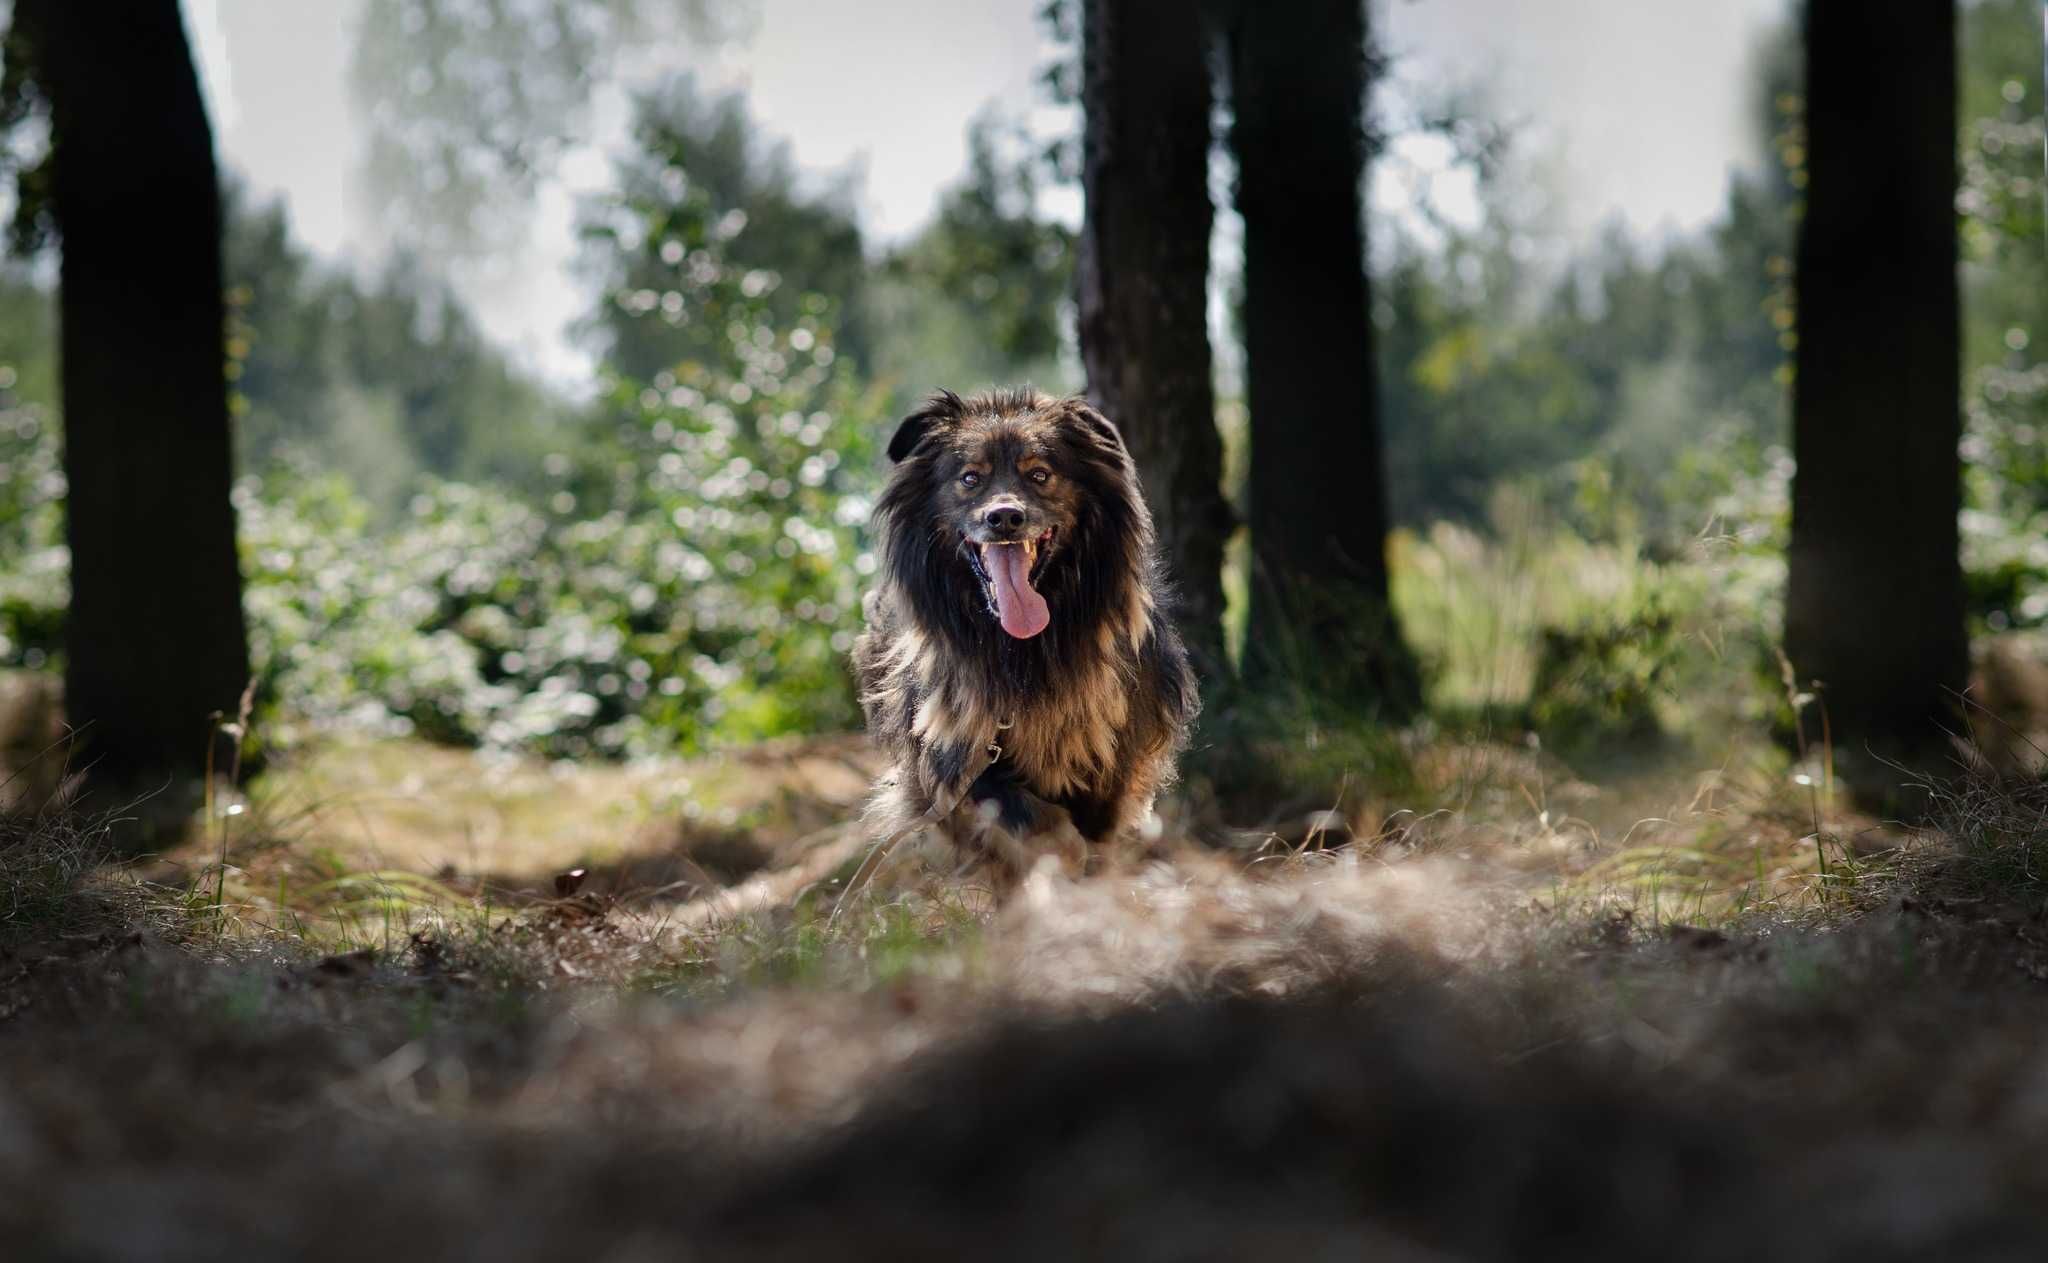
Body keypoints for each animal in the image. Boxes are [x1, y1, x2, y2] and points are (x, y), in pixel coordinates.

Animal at [851, 388, 1196, 872]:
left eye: (1040, 474)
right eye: (970, 477)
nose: (1004, 518)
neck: (1021, 647)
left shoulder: (1116, 758)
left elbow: (1096, 832)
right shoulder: (955, 760)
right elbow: (1042, 825)